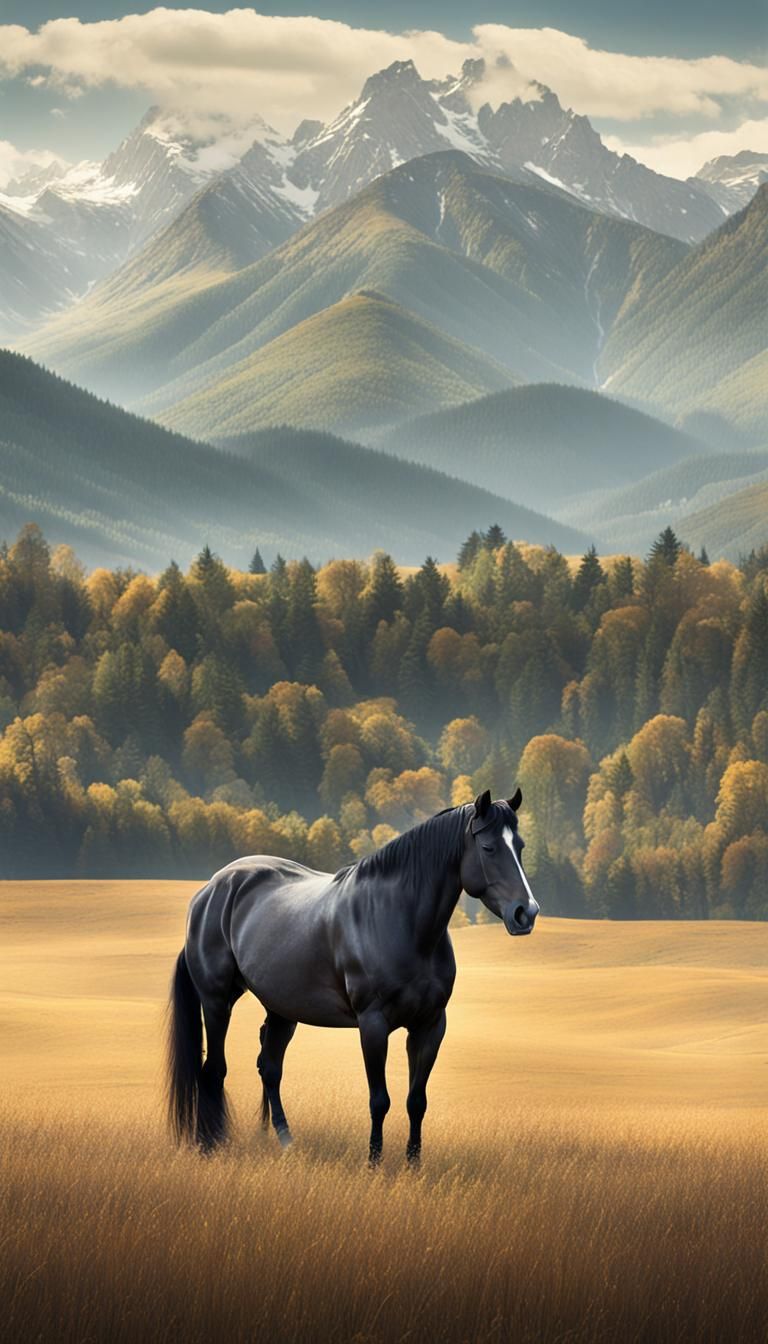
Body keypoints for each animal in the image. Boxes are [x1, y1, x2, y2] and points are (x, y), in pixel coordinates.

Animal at [167, 787, 539, 1164]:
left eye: (520, 846)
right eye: (488, 848)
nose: (526, 913)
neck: (398, 918)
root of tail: (210, 891)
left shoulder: (430, 1025)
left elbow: (416, 1101)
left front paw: (413, 1165)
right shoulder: (373, 1025)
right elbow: (380, 1100)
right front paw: (374, 1163)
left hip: (282, 1010)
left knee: (270, 1069)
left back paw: (286, 1143)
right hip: (216, 1003)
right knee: (213, 1070)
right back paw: (209, 1145)